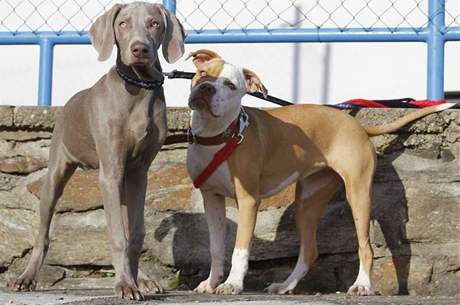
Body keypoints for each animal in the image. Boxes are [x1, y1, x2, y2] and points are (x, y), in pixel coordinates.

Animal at [9, 1, 185, 300]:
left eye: (154, 23)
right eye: (123, 24)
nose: (139, 50)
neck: (138, 88)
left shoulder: (139, 173)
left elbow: (134, 234)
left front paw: (133, 281)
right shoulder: (110, 172)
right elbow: (117, 236)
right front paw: (125, 284)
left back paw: (144, 279)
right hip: (56, 174)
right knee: (43, 234)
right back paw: (26, 278)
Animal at [184, 49, 452, 294]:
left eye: (230, 85)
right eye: (203, 73)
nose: (207, 87)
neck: (218, 135)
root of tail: (358, 125)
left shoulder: (249, 200)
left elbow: (240, 249)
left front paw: (233, 284)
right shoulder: (212, 198)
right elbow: (216, 248)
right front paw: (210, 283)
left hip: (358, 195)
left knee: (365, 246)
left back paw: (362, 285)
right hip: (308, 201)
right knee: (310, 251)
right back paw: (285, 285)